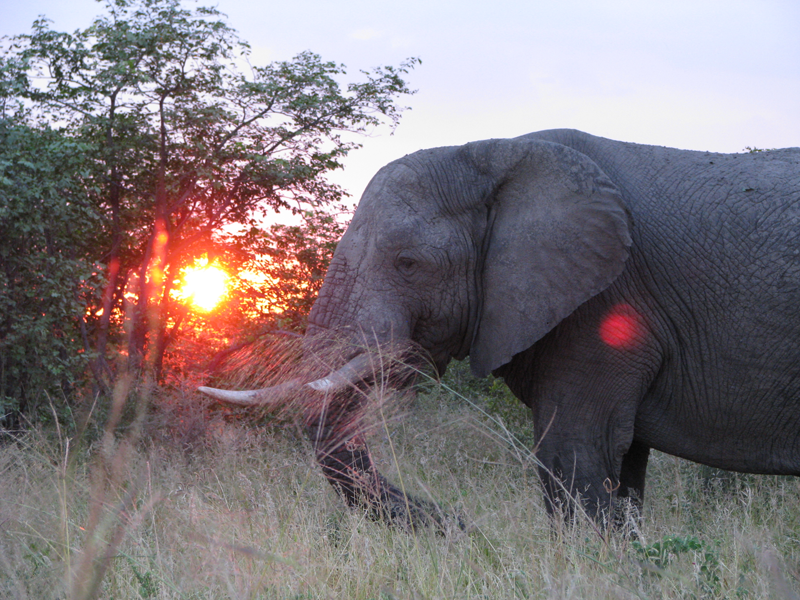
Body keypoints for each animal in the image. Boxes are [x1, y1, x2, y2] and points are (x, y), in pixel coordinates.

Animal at [200, 129, 800, 529]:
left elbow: (574, 454)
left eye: (408, 263)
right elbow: (621, 467)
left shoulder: (607, 301)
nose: (463, 525)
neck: (497, 152)